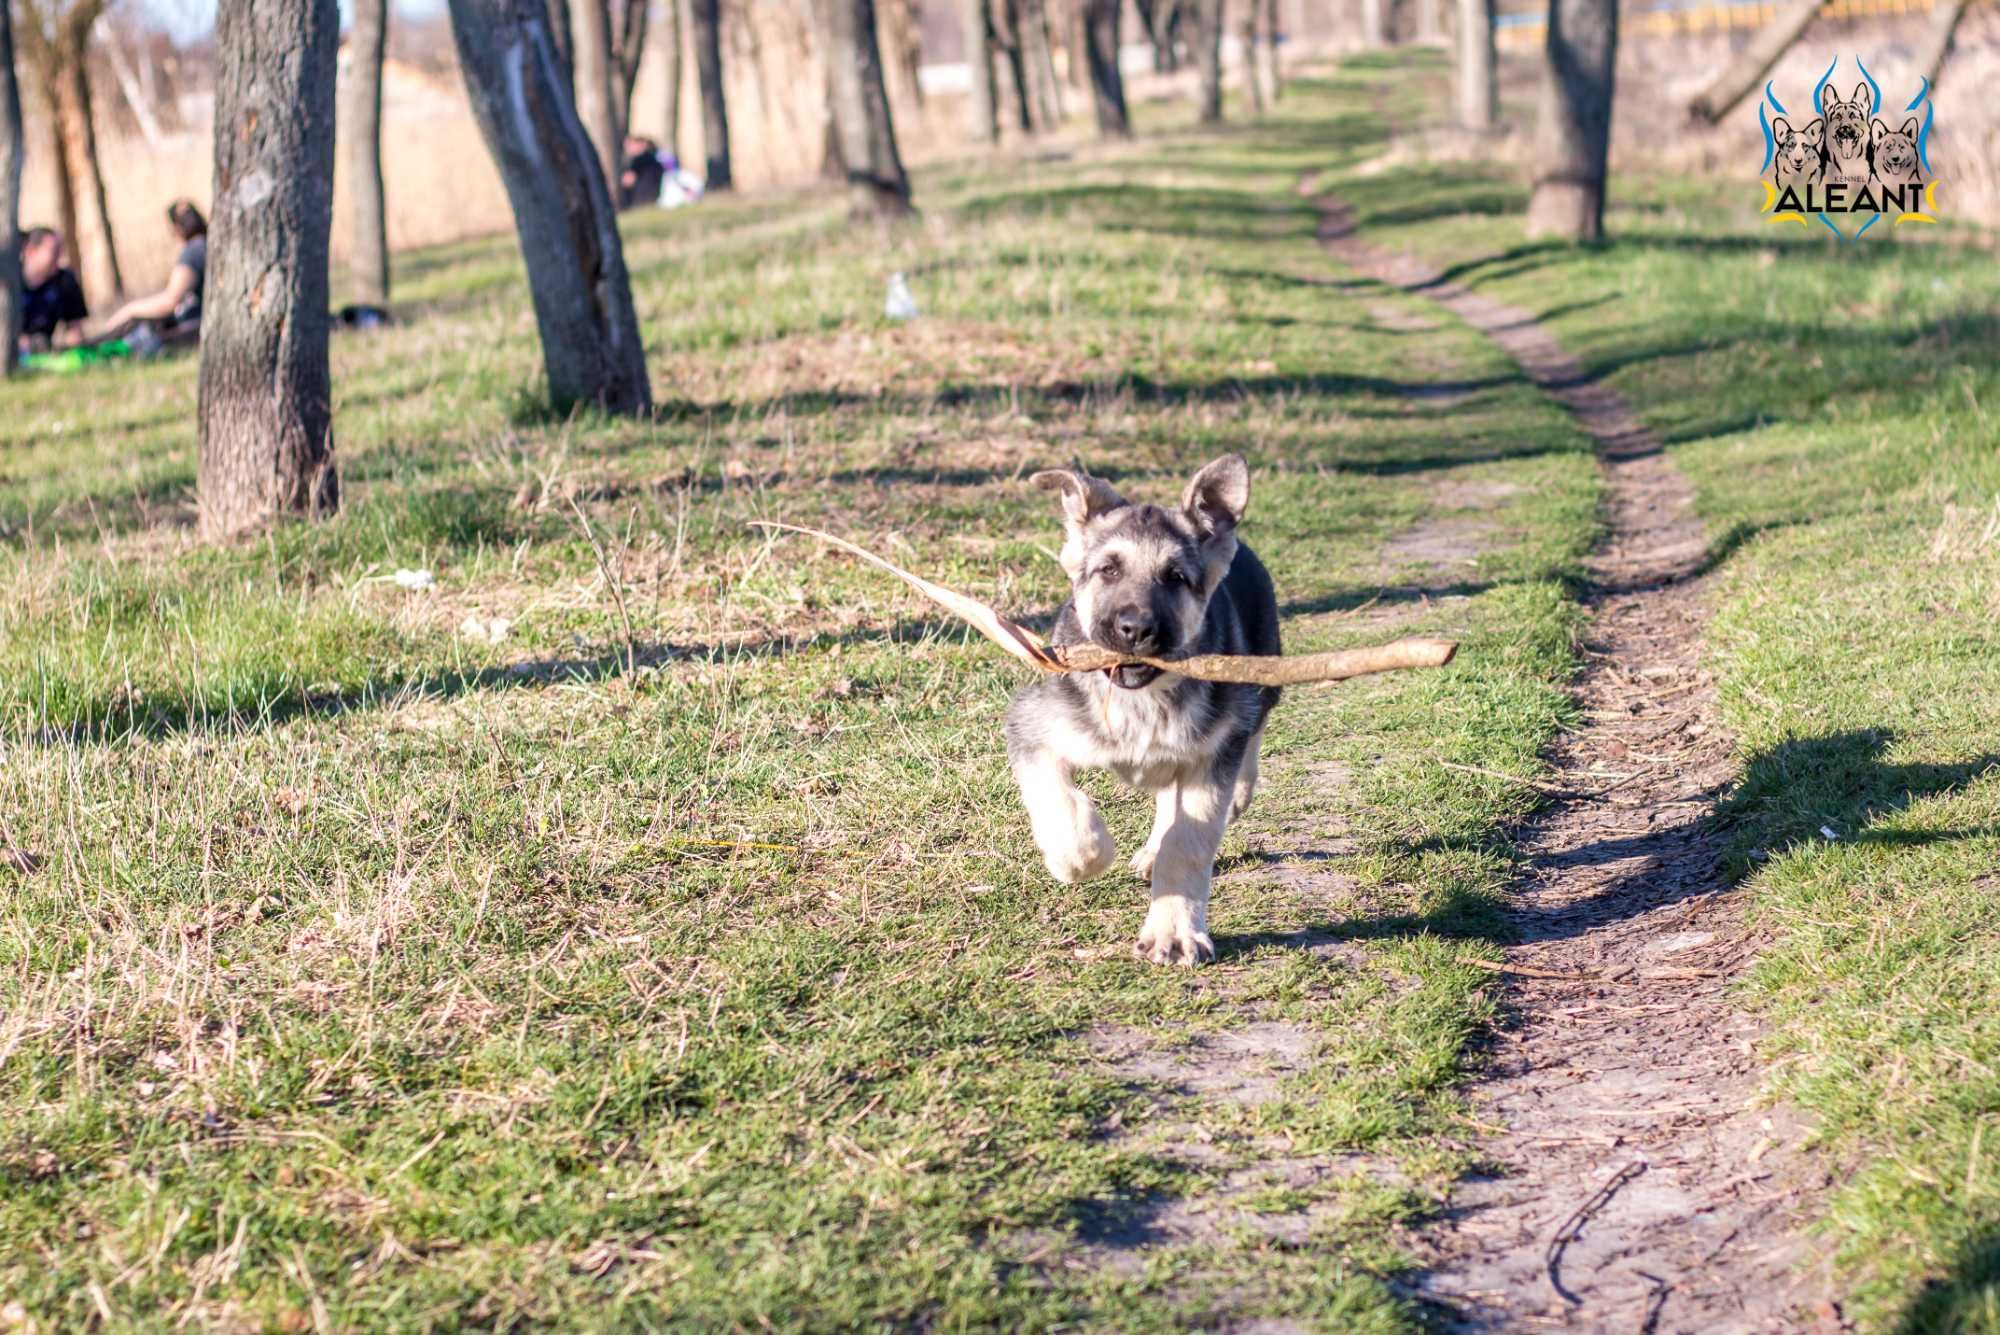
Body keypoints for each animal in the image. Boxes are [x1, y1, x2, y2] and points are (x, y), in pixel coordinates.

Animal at [1000, 453, 1280, 963]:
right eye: (1108, 571)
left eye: (1176, 578)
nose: (1135, 630)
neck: (1142, 701)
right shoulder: (1032, 725)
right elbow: (1060, 800)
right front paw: (1079, 856)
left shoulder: (1210, 757)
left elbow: (1188, 843)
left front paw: (1175, 932)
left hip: (1260, 678)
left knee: (1250, 732)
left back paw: (1236, 793)